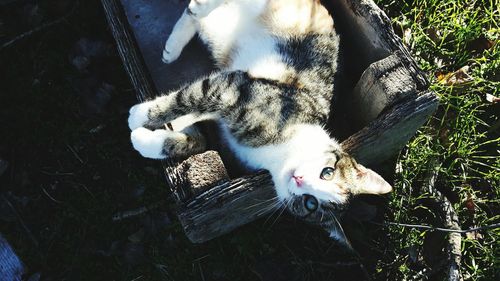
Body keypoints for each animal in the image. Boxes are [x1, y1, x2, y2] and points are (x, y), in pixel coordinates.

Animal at [127, 0, 392, 238]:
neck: (279, 153)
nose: (298, 180)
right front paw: (139, 115)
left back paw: (174, 45)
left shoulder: (226, 133)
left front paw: (145, 140)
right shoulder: (234, 88)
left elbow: (199, 137)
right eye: (327, 172)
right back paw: (192, 19)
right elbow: (187, 98)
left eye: (310, 204)